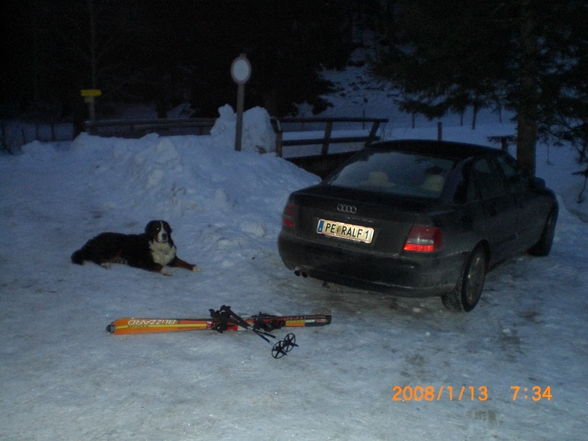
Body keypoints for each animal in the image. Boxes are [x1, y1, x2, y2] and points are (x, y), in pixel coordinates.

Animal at [70, 220, 199, 276]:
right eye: (157, 228)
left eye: (166, 228)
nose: (164, 235)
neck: (161, 247)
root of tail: (93, 240)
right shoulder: (143, 261)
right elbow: (158, 265)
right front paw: (166, 270)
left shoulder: (172, 259)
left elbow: (183, 262)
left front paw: (194, 267)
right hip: (114, 245)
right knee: (96, 257)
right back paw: (105, 264)